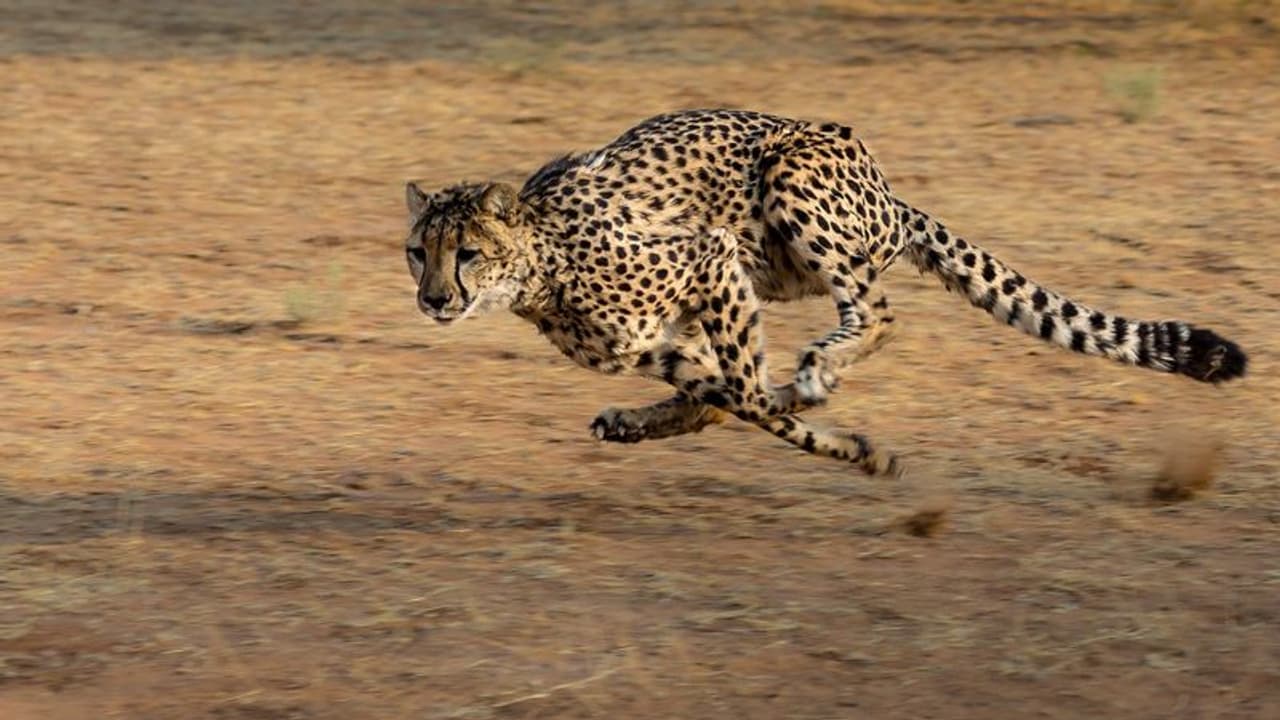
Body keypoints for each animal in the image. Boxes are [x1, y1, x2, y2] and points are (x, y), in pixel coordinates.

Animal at [404, 108, 1247, 476]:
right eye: (419, 253)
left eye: (467, 253)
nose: (434, 300)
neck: (540, 266)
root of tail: (887, 189)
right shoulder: (658, 341)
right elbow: (724, 397)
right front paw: (844, 442)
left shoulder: (709, 258)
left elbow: (747, 394)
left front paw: (838, 433)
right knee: (729, 390)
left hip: (791, 184)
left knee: (877, 310)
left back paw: (817, 369)